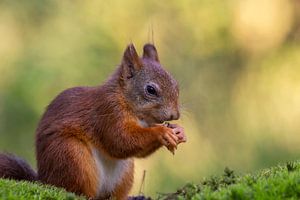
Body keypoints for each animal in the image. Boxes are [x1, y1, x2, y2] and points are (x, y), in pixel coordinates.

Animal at [0, 43, 186, 199]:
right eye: (151, 90)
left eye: (177, 85)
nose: (175, 115)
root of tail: (45, 180)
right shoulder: (108, 112)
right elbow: (120, 141)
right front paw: (162, 132)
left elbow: (137, 151)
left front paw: (179, 131)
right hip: (71, 155)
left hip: (125, 173)